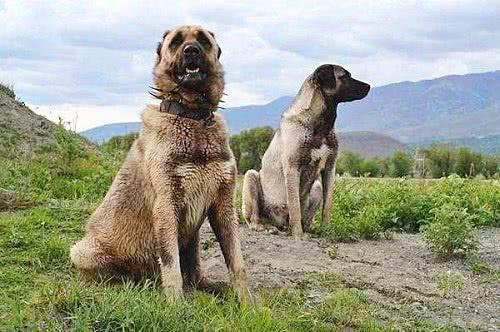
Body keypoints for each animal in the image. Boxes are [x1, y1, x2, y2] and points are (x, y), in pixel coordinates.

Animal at [70, 25, 250, 300]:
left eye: (203, 40)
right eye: (176, 42)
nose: (191, 50)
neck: (193, 116)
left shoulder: (223, 205)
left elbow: (236, 261)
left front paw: (248, 303)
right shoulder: (166, 204)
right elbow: (170, 264)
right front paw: (175, 303)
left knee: (194, 273)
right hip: (83, 252)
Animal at [242, 65, 372, 240]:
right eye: (345, 76)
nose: (369, 86)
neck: (321, 126)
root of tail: (278, 223)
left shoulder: (330, 168)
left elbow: (327, 205)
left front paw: (327, 230)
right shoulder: (292, 168)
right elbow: (295, 205)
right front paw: (297, 234)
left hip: (316, 187)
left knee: (307, 218)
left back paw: (309, 229)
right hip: (250, 177)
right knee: (254, 218)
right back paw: (267, 227)